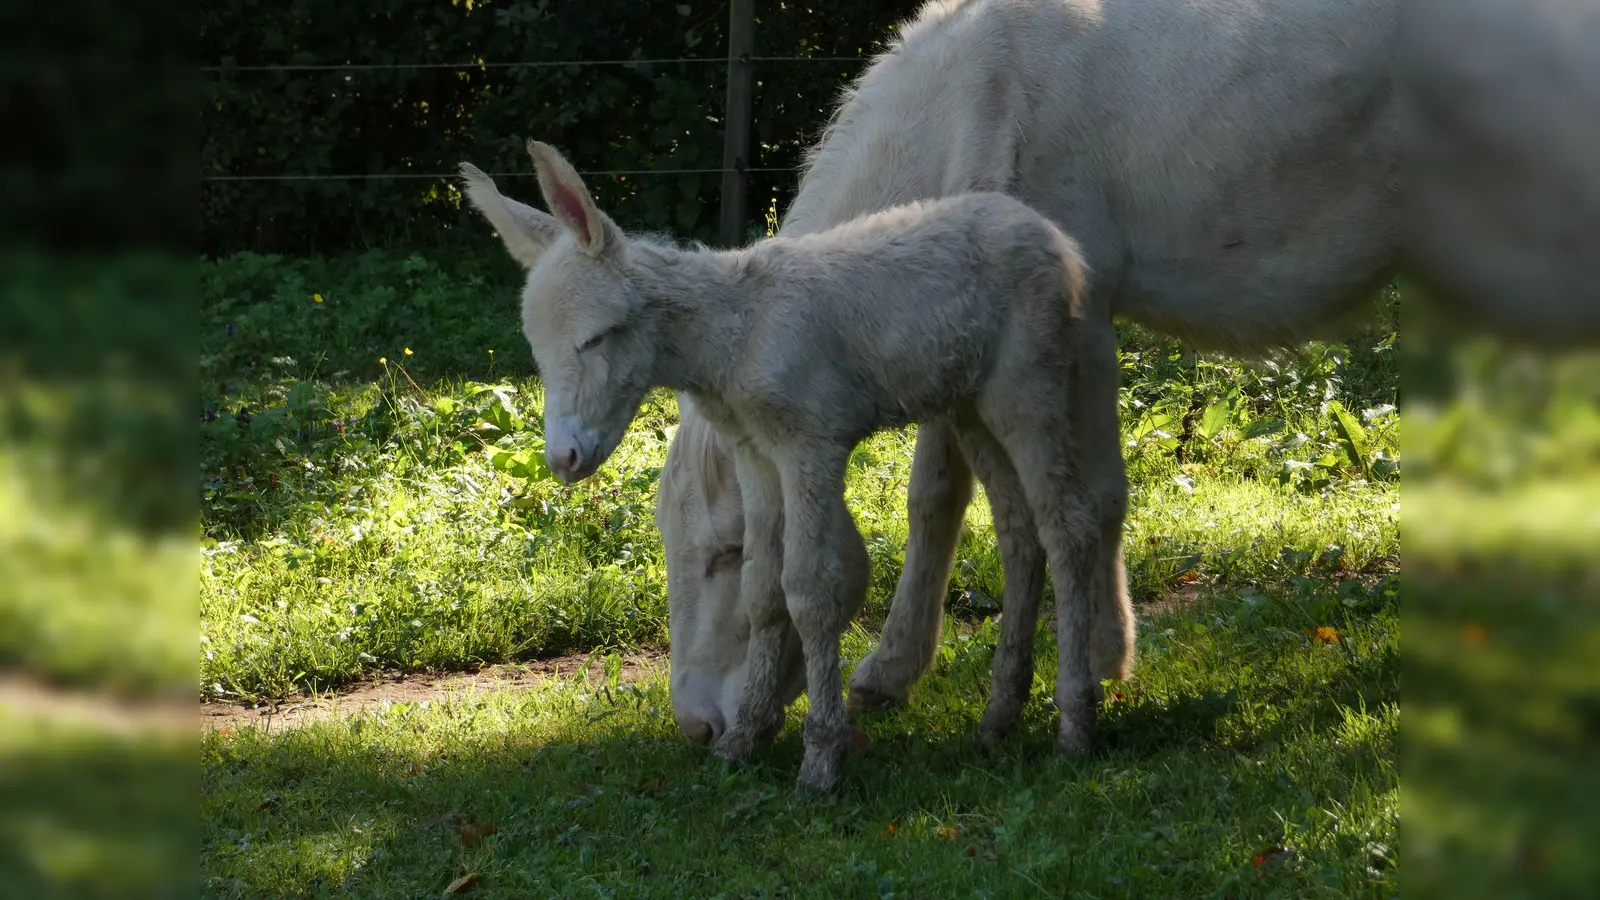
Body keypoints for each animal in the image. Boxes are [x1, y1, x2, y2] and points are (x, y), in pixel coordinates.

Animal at [457, 140, 1120, 791]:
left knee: (1068, 525)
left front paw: (821, 759)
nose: (562, 459)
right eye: (538, 353)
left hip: (1027, 386)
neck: (737, 334)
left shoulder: (811, 445)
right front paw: (744, 741)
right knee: (1018, 531)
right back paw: (1001, 714)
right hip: (970, 404)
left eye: (595, 339)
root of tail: (1049, 235)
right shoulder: (757, 456)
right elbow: (762, 591)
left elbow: (809, 587)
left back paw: (1075, 725)